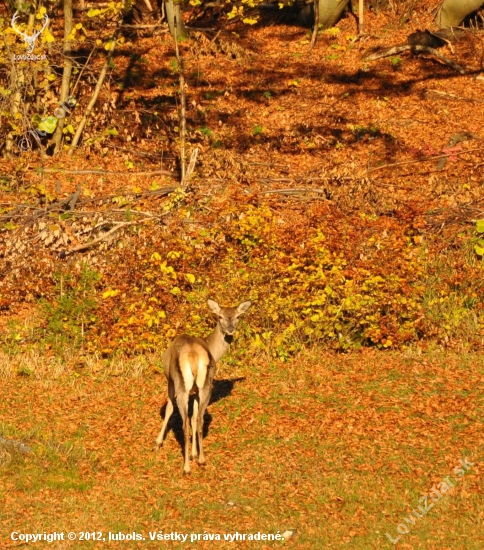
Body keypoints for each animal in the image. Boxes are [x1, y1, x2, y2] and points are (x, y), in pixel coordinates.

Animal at [154, 300, 253, 472]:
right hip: (205, 385)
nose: (230, 329)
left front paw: (158, 442)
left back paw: (186, 467)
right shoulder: (195, 390)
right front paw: (194, 453)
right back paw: (201, 459)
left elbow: (170, 410)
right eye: (220, 316)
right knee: (199, 419)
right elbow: (193, 416)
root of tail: (193, 356)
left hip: (182, 385)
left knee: (185, 423)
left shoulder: (170, 381)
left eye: (238, 316)